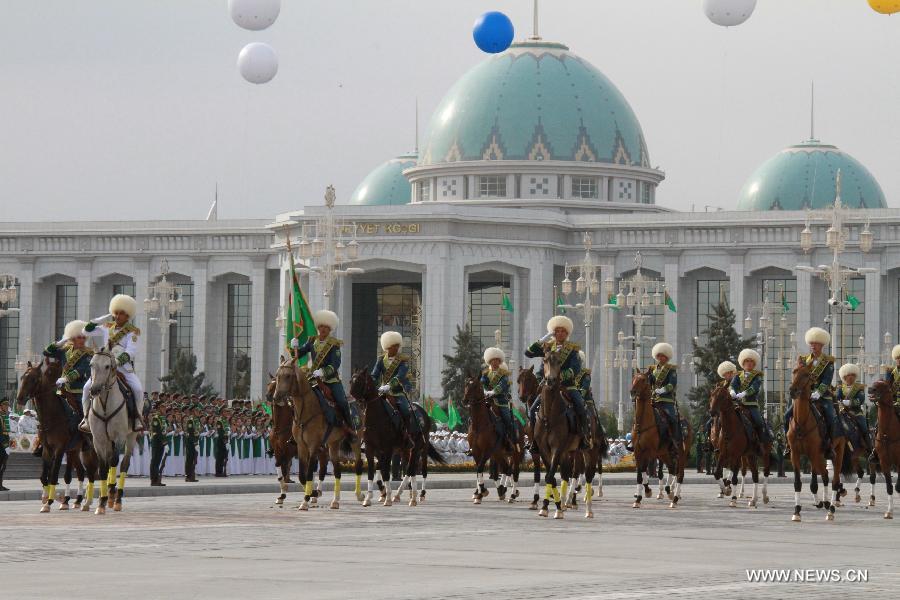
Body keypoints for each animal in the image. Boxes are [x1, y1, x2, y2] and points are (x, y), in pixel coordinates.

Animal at [15, 358, 93, 512]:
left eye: (34, 379)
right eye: (22, 378)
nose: (20, 399)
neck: (53, 416)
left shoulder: (60, 449)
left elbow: (53, 475)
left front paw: (49, 502)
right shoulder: (47, 449)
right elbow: (44, 476)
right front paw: (47, 498)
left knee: (94, 472)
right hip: (74, 450)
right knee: (81, 472)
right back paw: (77, 500)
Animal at [87, 350, 140, 512]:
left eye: (107, 366)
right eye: (91, 364)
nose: (94, 390)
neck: (105, 404)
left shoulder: (119, 437)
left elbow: (114, 461)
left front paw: (110, 494)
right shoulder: (98, 439)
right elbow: (103, 467)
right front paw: (101, 502)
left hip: (131, 437)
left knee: (124, 464)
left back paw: (117, 499)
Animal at [346, 370, 444, 506]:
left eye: (360, 381)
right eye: (351, 381)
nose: (351, 398)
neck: (376, 418)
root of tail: (423, 413)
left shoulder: (387, 449)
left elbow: (386, 472)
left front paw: (387, 497)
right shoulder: (371, 449)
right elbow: (372, 472)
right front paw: (369, 497)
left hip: (418, 447)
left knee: (413, 469)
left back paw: (415, 496)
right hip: (405, 450)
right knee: (410, 469)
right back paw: (406, 494)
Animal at [628, 368, 684, 508]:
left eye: (643, 379)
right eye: (634, 378)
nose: (633, 392)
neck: (643, 424)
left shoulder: (650, 452)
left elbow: (645, 471)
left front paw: (644, 493)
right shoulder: (638, 452)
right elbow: (640, 474)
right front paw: (641, 496)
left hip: (680, 453)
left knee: (679, 473)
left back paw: (675, 498)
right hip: (664, 453)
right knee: (671, 468)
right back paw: (669, 491)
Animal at [788, 358, 844, 524]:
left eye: (807, 374)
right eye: (794, 371)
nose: (792, 390)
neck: (802, 422)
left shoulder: (813, 452)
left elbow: (816, 480)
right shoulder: (795, 453)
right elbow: (798, 482)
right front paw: (797, 511)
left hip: (837, 451)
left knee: (834, 480)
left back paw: (831, 509)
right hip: (819, 456)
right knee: (824, 474)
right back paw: (824, 502)